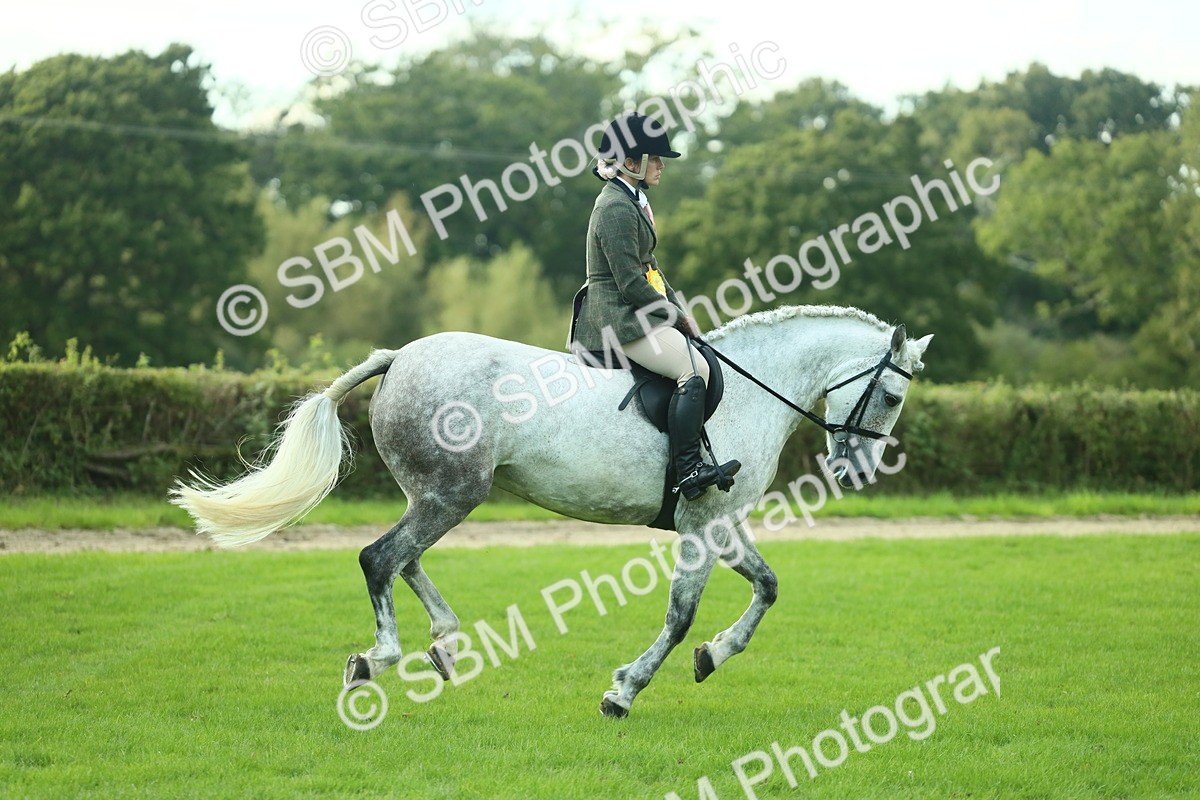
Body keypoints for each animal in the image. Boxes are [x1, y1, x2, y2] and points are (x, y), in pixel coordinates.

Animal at [171, 305, 932, 717]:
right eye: (892, 398)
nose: (858, 472)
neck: (752, 390)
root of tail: (400, 357)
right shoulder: (700, 526)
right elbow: (679, 616)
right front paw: (625, 690)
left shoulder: (723, 525)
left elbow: (768, 587)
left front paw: (714, 656)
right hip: (452, 494)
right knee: (380, 557)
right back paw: (379, 657)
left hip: (440, 494)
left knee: (404, 559)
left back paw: (444, 641)